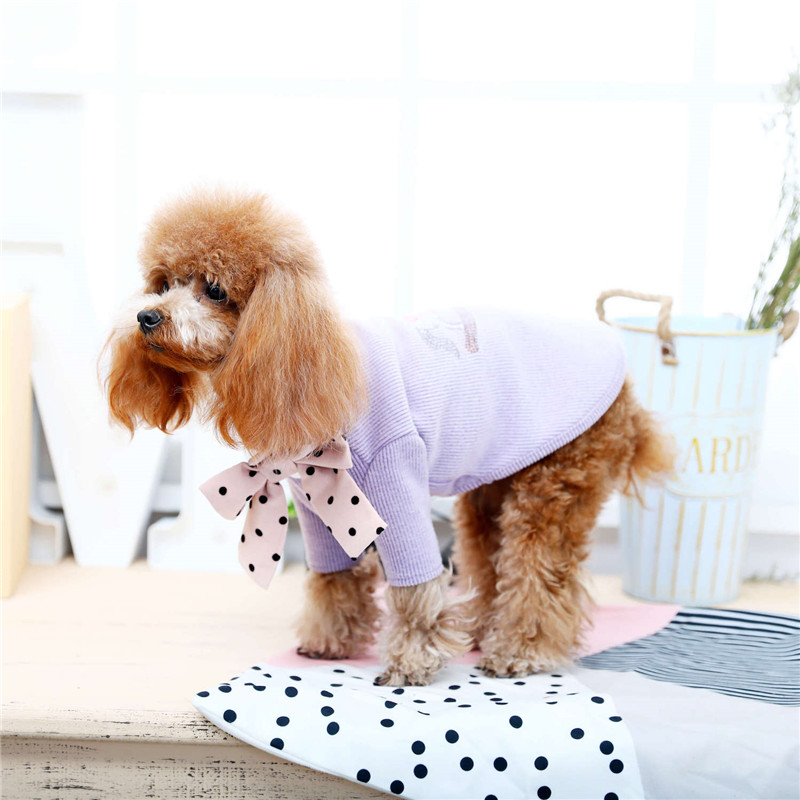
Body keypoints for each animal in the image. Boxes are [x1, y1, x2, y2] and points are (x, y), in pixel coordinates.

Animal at [103, 188, 674, 687]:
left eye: (215, 289)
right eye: (164, 282)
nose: (147, 316)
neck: (310, 362)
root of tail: (626, 384)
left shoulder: (392, 479)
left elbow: (417, 586)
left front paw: (412, 660)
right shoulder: (314, 501)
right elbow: (333, 577)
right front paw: (329, 641)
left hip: (556, 483)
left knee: (541, 573)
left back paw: (521, 651)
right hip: (490, 492)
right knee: (491, 563)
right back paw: (483, 633)